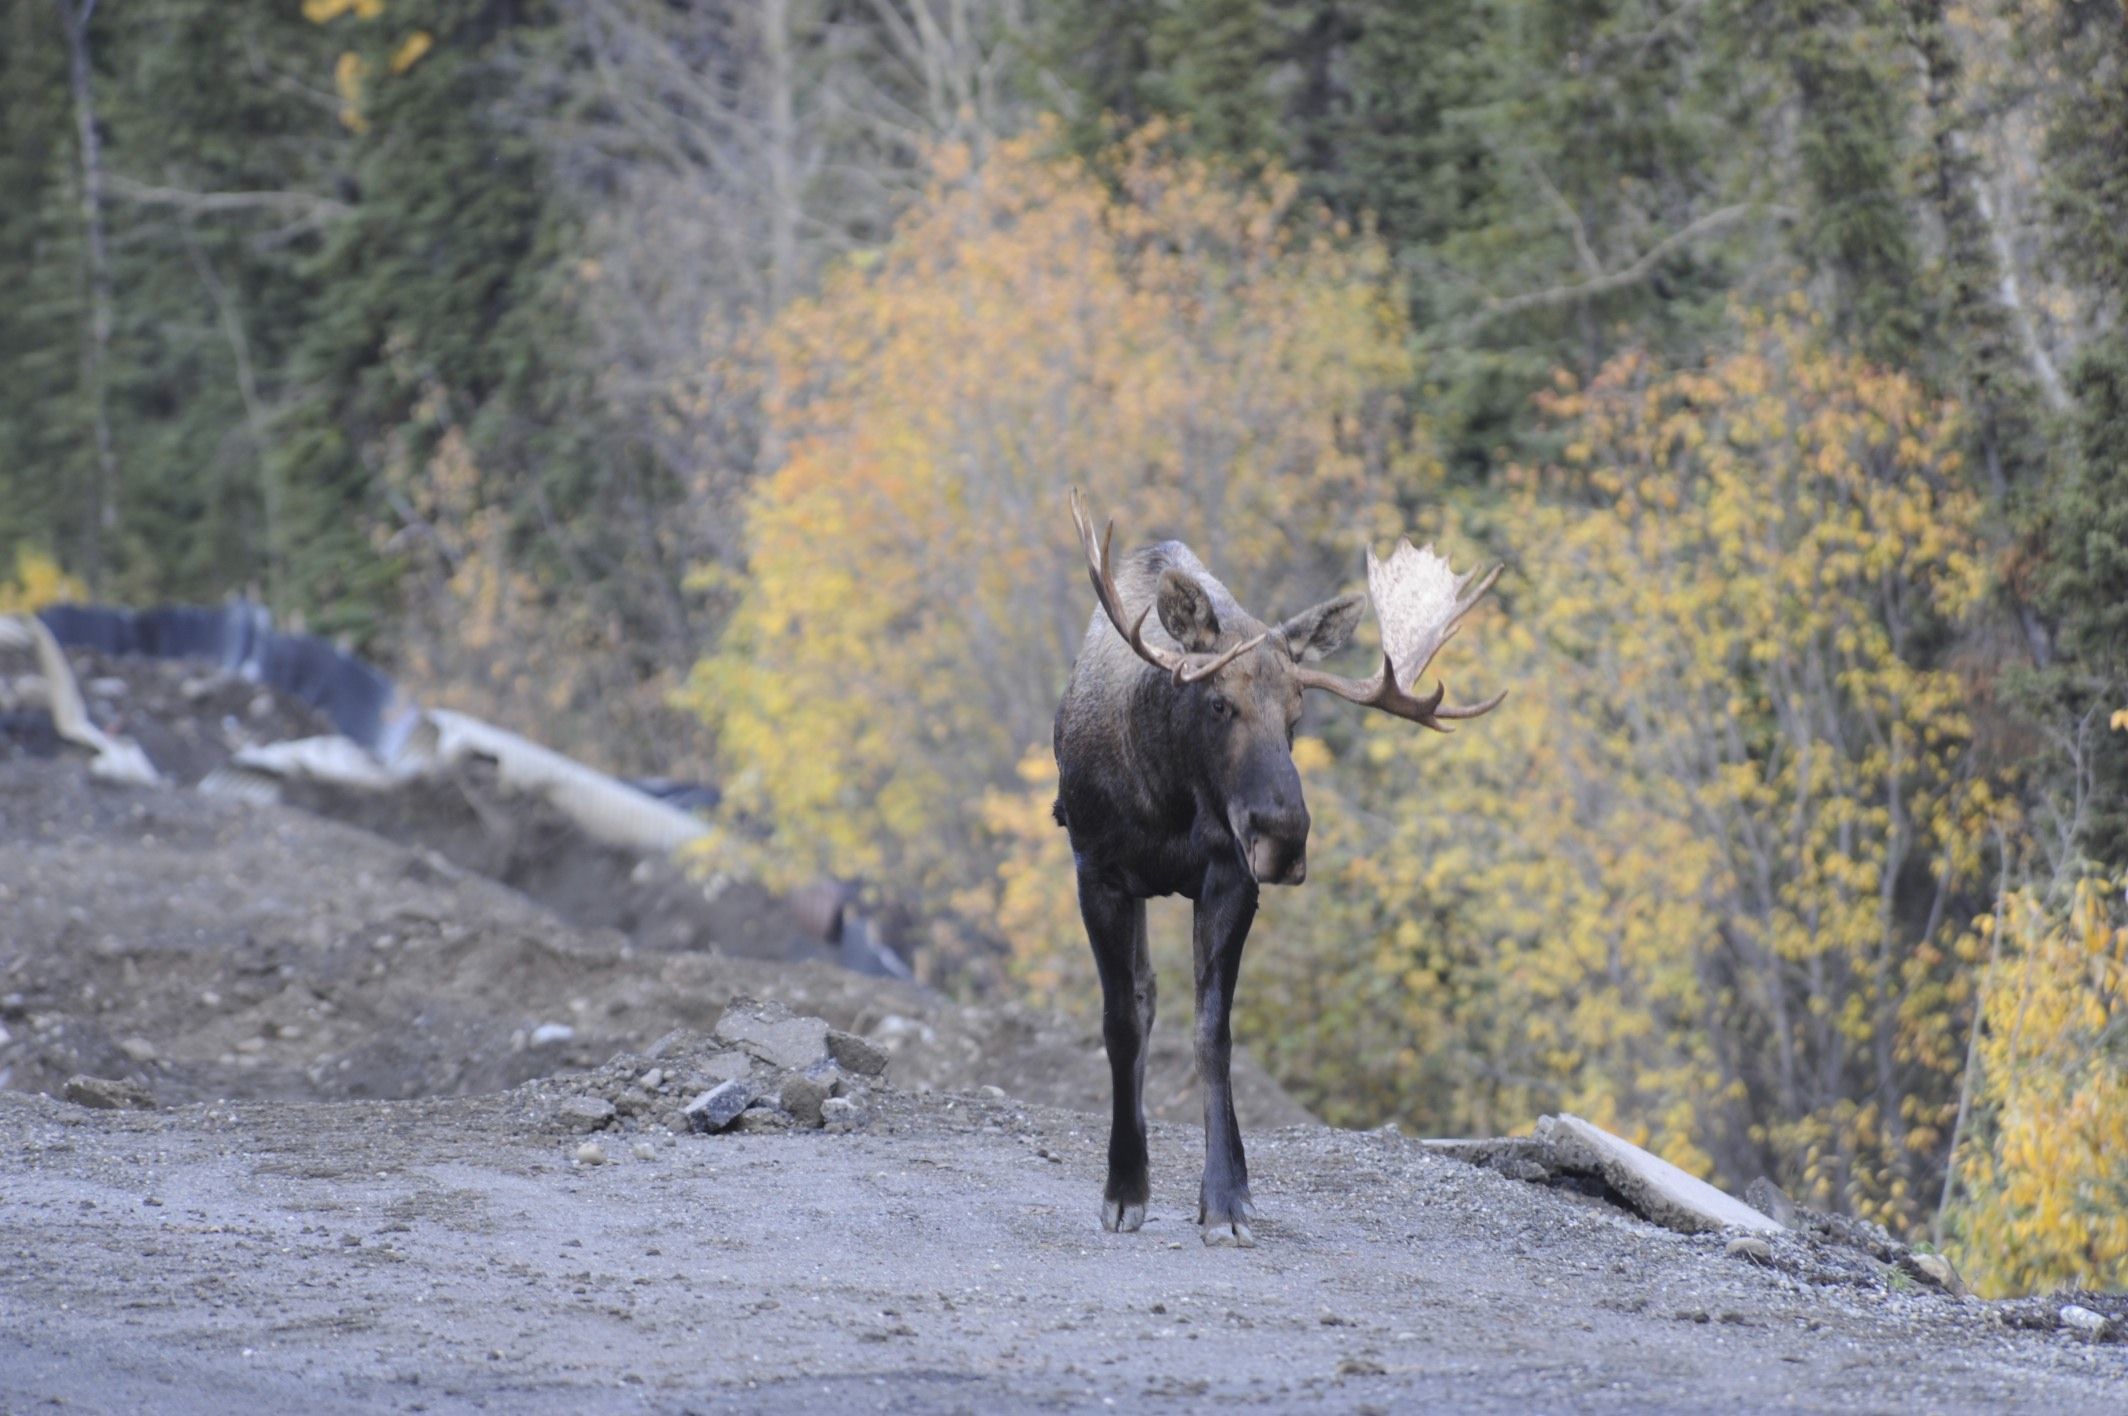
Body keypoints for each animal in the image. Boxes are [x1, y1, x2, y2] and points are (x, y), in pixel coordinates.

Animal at [1055, 491, 1506, 1243]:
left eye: (1297, 714)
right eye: (1219, 702)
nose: (1285, 835)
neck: (1166, 795)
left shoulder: (1231, 877)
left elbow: (1214, 1032)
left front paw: (1227, 1199)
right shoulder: (1098, 870)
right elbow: (1122, 1022)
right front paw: (1124, 1189)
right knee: (1143, 1000)